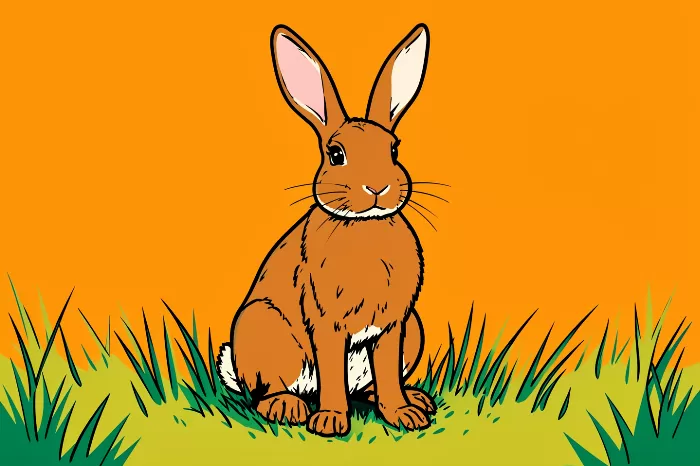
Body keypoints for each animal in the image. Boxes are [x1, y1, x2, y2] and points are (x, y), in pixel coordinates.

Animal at [217, 23, 436, 437]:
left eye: (394, 150)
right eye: (336, 155)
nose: (378, 187)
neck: (364, 228)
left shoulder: (392, 326)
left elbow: (387, 373)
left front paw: (403, 415)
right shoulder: (326, 322)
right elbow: (332, 372)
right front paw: (331, 422)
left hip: (412, 329)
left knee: (366, 385)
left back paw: (416, 400)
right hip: (266, 328)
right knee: (267, 391)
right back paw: (287, 408)